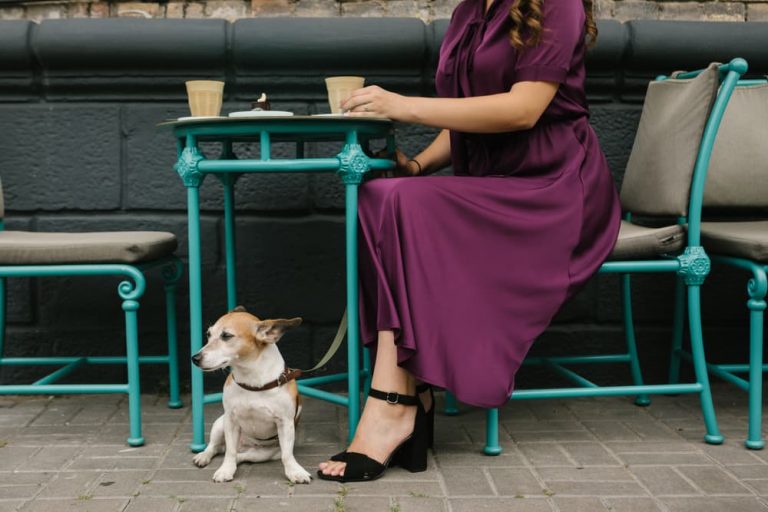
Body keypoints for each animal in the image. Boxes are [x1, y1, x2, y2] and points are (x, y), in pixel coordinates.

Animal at [192, 306, 312, 486]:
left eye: (226, 336)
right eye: (208, 334)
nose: (195, 358)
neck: (251, 378)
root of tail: (245, 445)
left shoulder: (285, 424)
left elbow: (287, 455)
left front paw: (295, 471)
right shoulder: (231, 420)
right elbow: (230, 452)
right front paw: (225, 470)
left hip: (264, 453)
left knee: (241, 456)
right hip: (220, 424)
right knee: (217, 447)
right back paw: (204, 456)